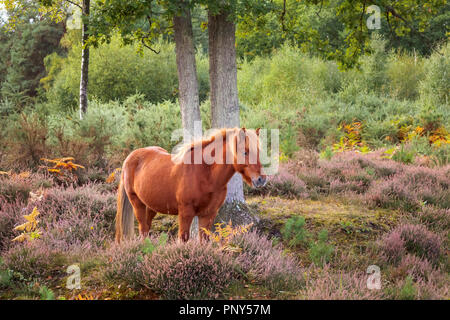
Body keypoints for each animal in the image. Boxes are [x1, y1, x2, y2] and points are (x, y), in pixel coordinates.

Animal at [114, 127, 268, 242]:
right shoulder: (185, 213)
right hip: (137, 203)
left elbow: (204, 240)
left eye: (259, 152)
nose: (261, 179)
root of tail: (130, 157)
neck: (205, 174)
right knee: (143, 229)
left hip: (151, 207)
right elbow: (183, 239)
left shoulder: (208, 214)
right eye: (245, 152)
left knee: (146, 228)